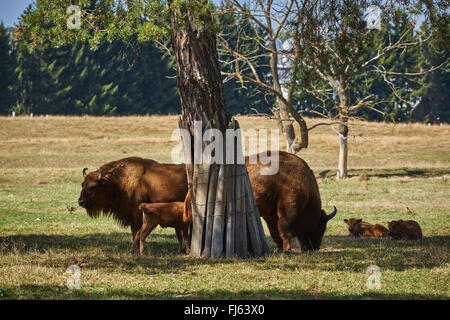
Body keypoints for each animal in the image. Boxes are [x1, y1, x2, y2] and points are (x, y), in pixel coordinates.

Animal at [79, 152, 336, 252]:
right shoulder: (281, 213)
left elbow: (281, 232)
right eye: (84, 184)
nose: (80, 201)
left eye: (92, 186)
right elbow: (283, 231)